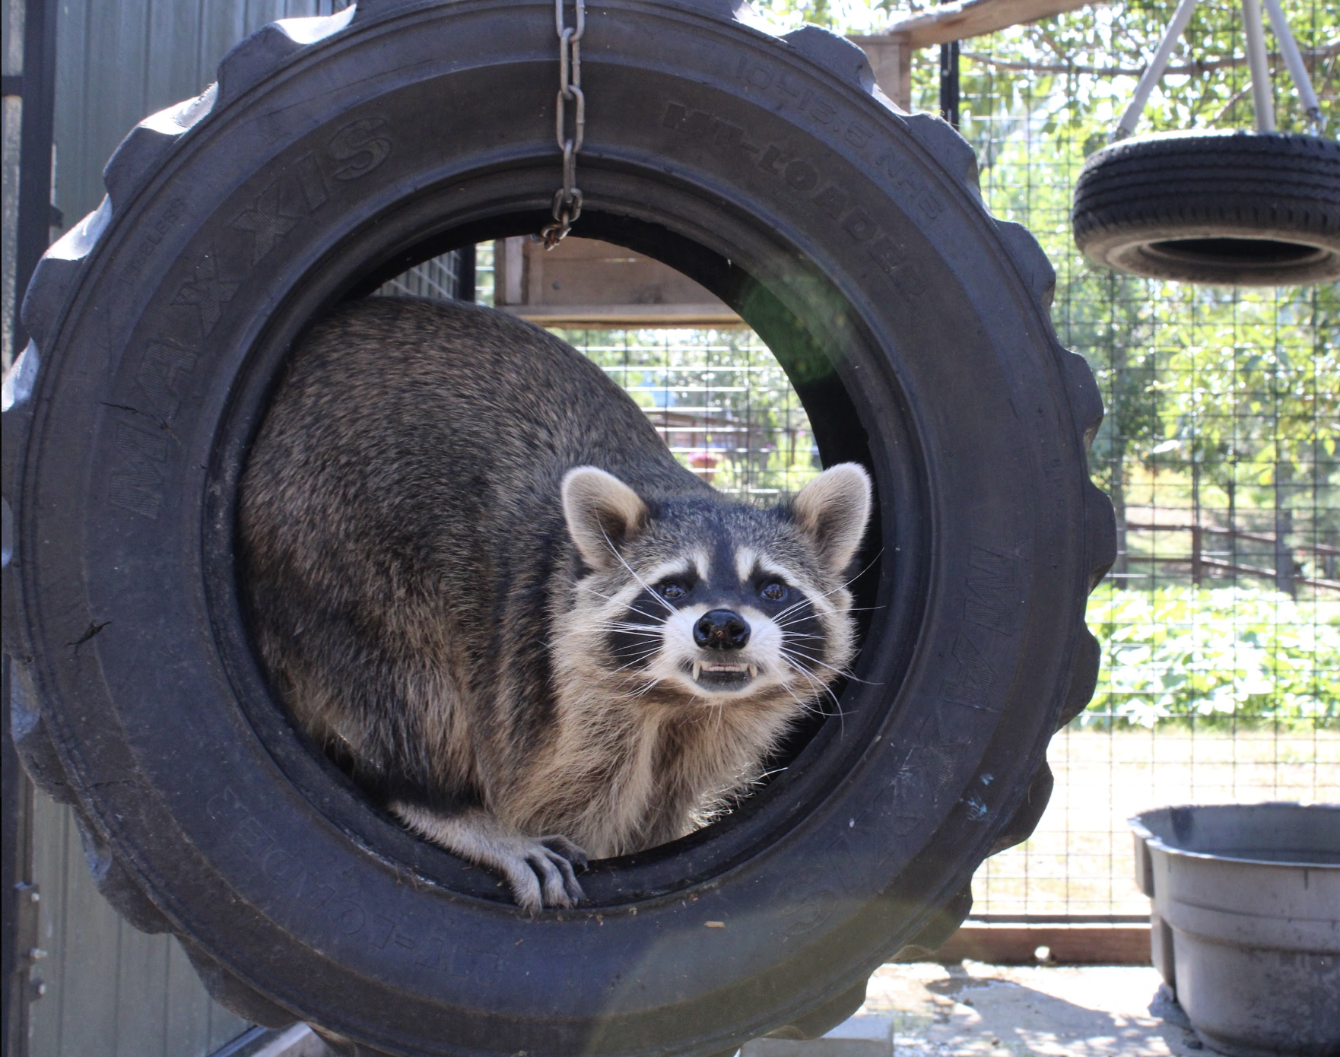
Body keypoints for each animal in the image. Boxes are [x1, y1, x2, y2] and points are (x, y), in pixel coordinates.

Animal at [239, 296, 871, 910]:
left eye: (771, 588)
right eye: (673, 587)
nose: (720, 627)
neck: (679, 708)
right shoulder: (541, 694)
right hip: (330, 539)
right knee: (406, 677)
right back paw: (436, 800)